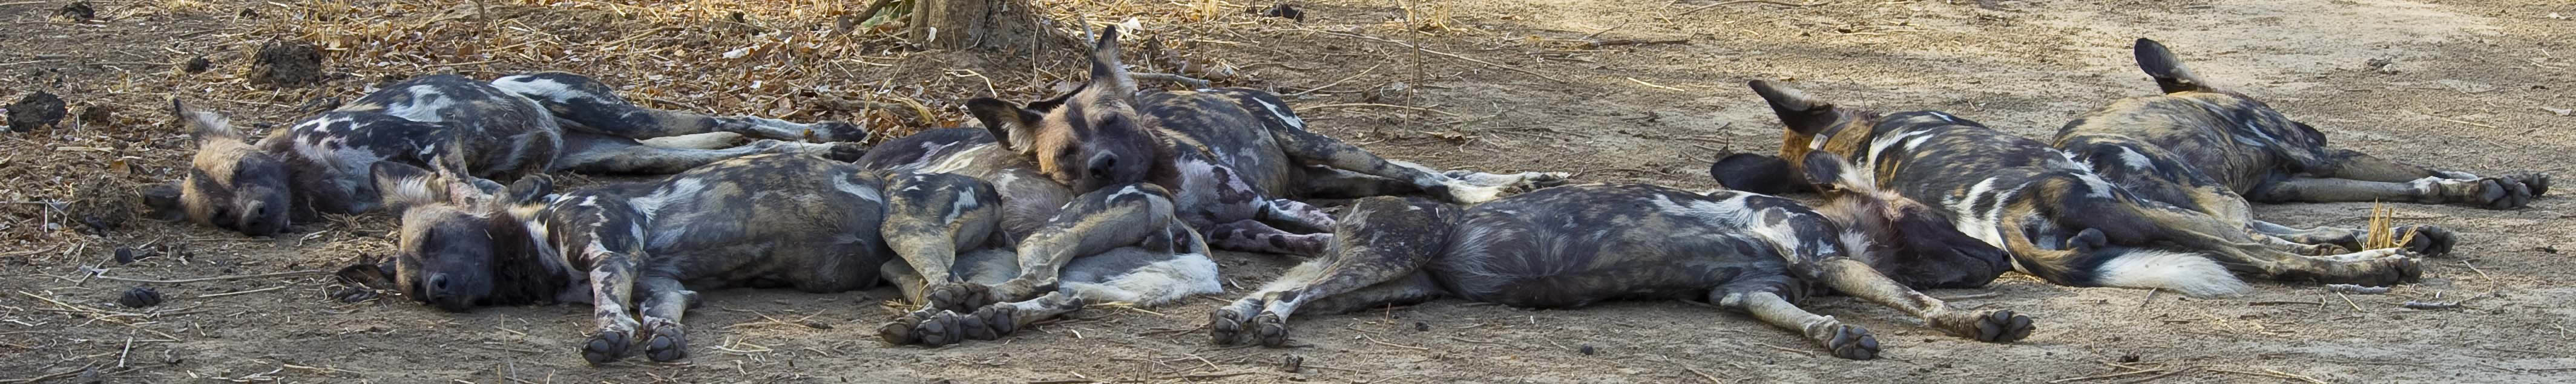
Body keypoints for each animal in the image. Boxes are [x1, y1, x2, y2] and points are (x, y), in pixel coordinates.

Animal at [1710, 78, 2431, 296]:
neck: (1858, 148)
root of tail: (2010, 215)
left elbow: (2276, 226)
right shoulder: (2182, 197)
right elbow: (2263, 228)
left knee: (2254, 251)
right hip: (2147, 211)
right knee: (2260, 257)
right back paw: (2379, 265)